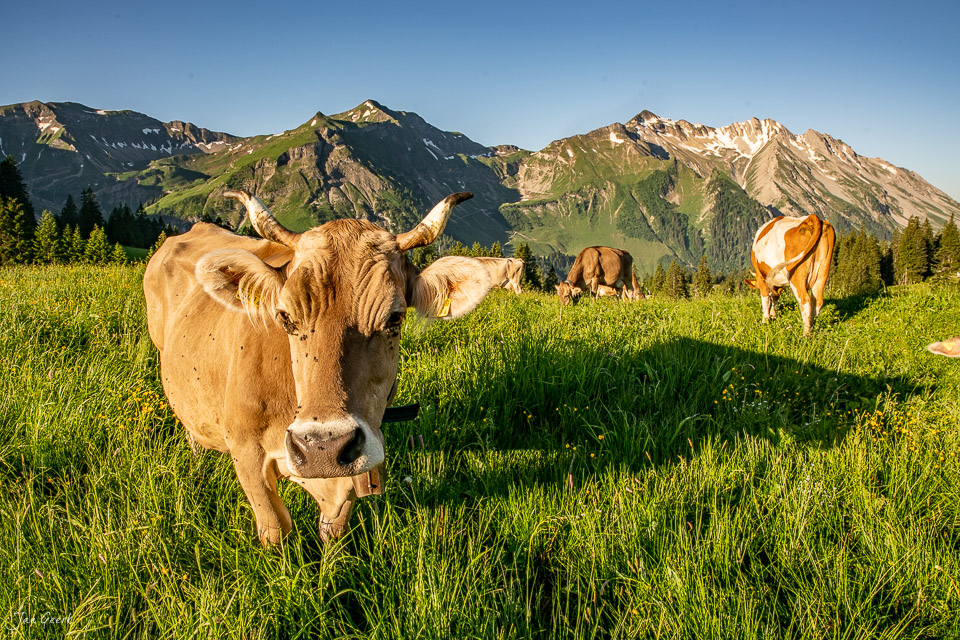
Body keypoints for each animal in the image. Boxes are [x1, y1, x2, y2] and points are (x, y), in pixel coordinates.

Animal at [143, 190, 501, 545]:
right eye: (285, 317)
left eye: (395, 318)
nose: (322, 448)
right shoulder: (246, 452)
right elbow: (275, 528)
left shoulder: (358, 461)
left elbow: (333, 530)